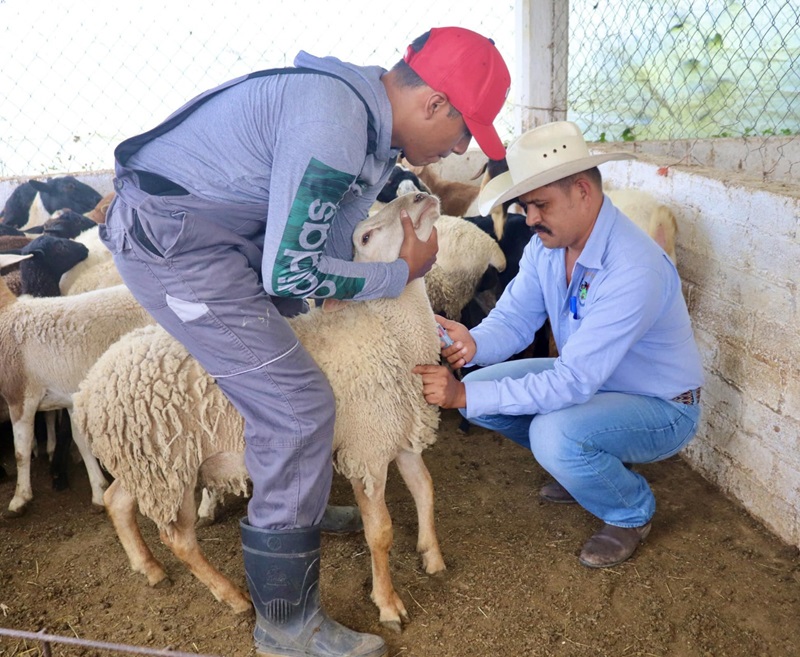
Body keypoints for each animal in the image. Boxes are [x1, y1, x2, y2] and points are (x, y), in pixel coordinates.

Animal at [0, 280, 153, 516]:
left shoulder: (20, 397)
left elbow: (21, 451)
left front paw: (20, 499)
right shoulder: (70, 399)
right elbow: (81, 442)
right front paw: (99, 491)